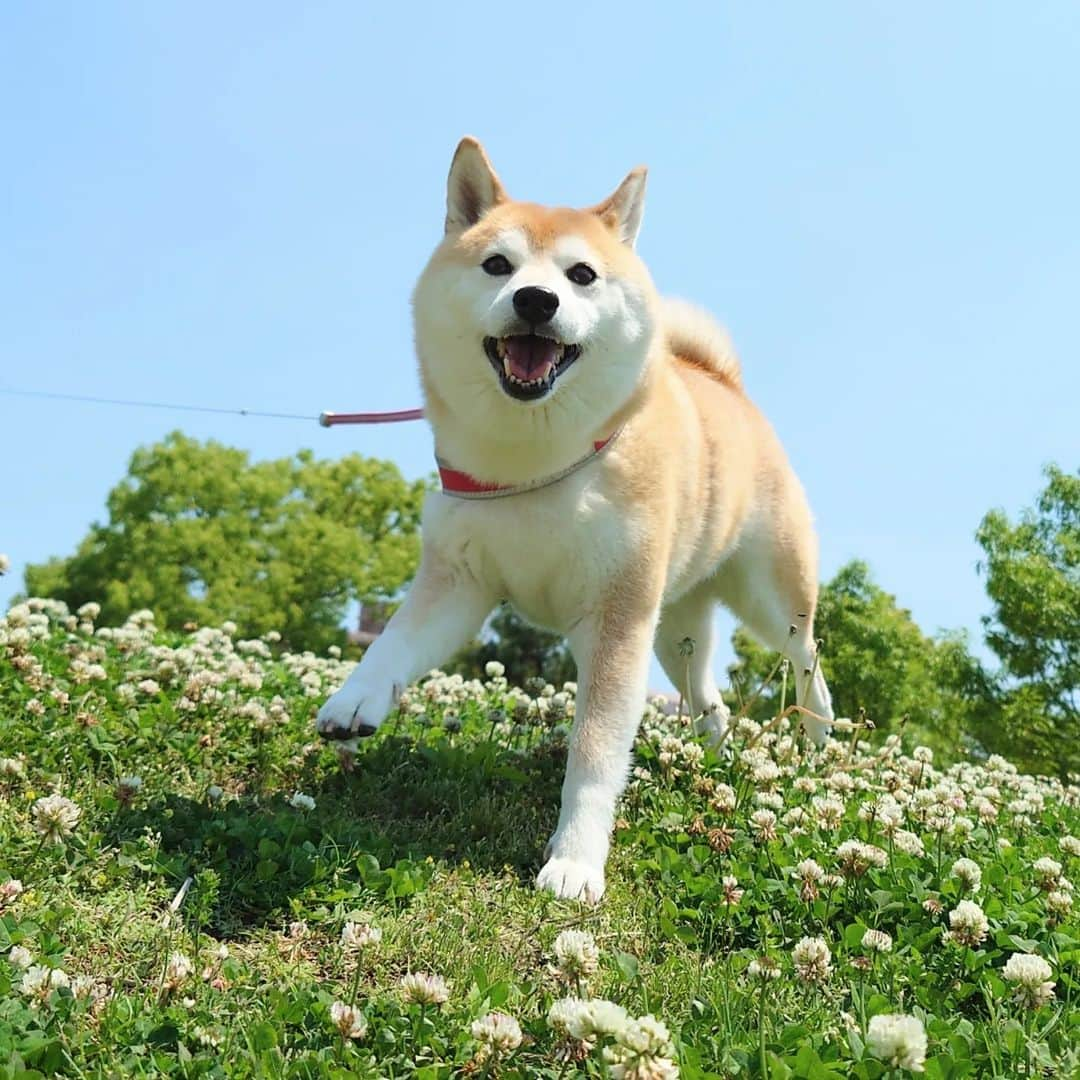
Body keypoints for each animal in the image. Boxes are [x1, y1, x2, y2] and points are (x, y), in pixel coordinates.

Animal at [315, 139, 829, 907]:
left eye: (581, 275)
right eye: (497, 265)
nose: (536, 299)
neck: (536, 462)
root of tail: (724, 384)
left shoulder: (616, 619)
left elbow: (593, 753)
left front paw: (577, 862)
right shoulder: (459, 581)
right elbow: (393, 642)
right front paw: (357, 698)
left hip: (768, 599)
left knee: (807, 658)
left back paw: (820, 741)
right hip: (673, 630)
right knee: (710, 701)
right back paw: (714, 759)